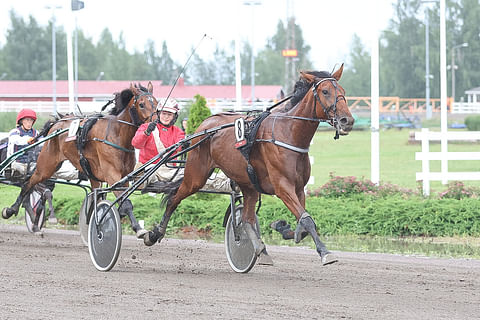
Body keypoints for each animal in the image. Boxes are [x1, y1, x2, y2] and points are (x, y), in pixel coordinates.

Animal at [2, 82, 158, 236]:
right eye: (142, 104)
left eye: (156, 103)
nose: (155, 122)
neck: (117, 134)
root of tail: (57, 123)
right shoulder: (112, 175)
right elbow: (126, 203)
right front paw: (139, 229)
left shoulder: (124, 178)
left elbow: (121, 202)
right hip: (46, 166)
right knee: (28, 183)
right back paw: (11, 210)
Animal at [144, 64, 354, 264]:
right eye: (325, 91)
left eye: (343, 90)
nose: (347, 120)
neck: (289, 133)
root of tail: (205, 123)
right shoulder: (283, 187)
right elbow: (307, 220)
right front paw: (325, 253)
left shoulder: (299, 188)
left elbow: (302, 224)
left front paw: (282, 227)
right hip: (196, 175)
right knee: (173, 199)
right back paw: (154, 234)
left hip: (248, 184)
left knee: (246, 219)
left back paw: (261, 250)